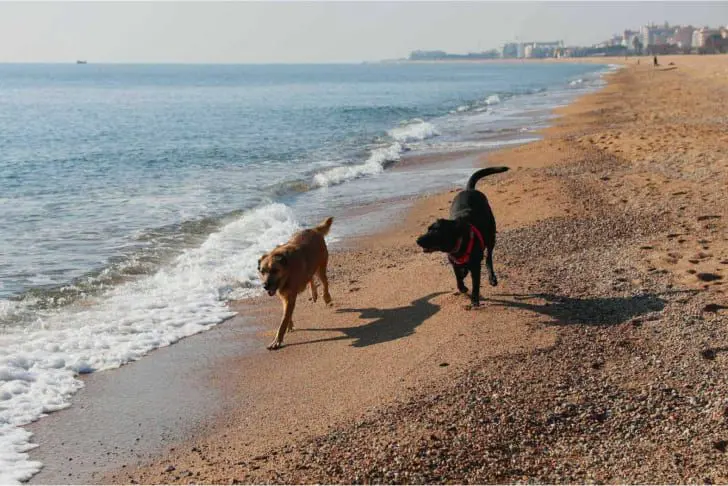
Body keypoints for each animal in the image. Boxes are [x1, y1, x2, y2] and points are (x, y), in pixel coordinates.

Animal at [258, 216, 334, 350]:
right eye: (262, 271)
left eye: (274, 270)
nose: (265, 286)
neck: (287, 270)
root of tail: (314, 230)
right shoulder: (284, 297)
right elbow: (286, 315)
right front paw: (289, 325)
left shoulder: (290, 296)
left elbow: (283, 320)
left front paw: (277, 340)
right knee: (310, 278)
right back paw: (313, 294)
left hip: (320, 267)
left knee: (324, 282)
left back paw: (326, 297)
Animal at [418, 165, 510, 306]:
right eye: (428, 230)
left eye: (435, 232)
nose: (417, 240)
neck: (459, 242)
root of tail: (469, 189)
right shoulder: (453, 262)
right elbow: (458, 277)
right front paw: (462, 287)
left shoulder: (476, 266)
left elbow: (475, 283)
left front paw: (474, 299)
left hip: (491, 236)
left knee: (488, 257)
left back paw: (492, 278)